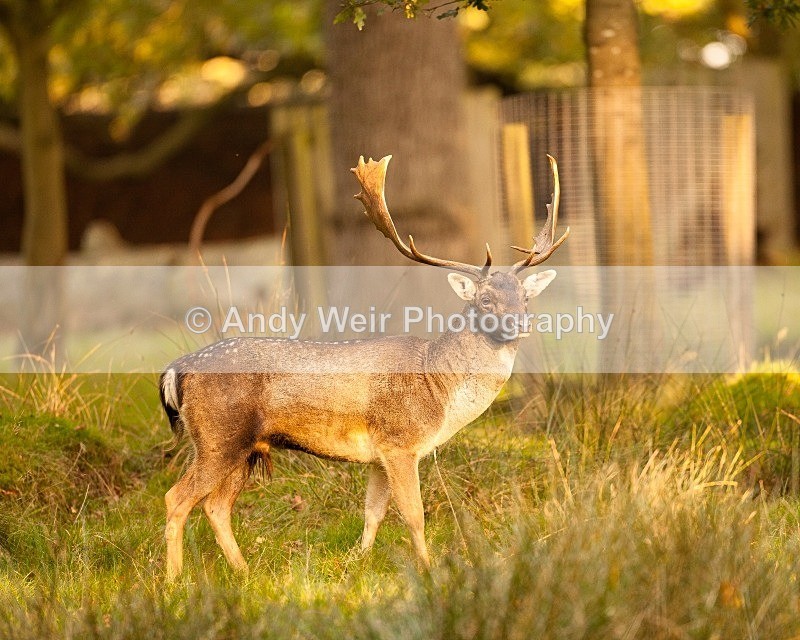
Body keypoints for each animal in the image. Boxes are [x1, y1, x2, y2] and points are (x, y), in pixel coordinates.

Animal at [159, 154, 569, 579]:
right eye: (485, 300)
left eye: (524, 297)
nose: (522, 322)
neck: (437, 386)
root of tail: (176, 371)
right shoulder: (400, 441)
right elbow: (414, 514)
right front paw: (429, 571)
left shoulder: (378, 455)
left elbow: (373, 512)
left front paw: (358, 562)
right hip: (217, 437)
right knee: (176, 498)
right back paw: (175, 581)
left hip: (243, 446)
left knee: (216, 505)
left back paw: (243, 572)